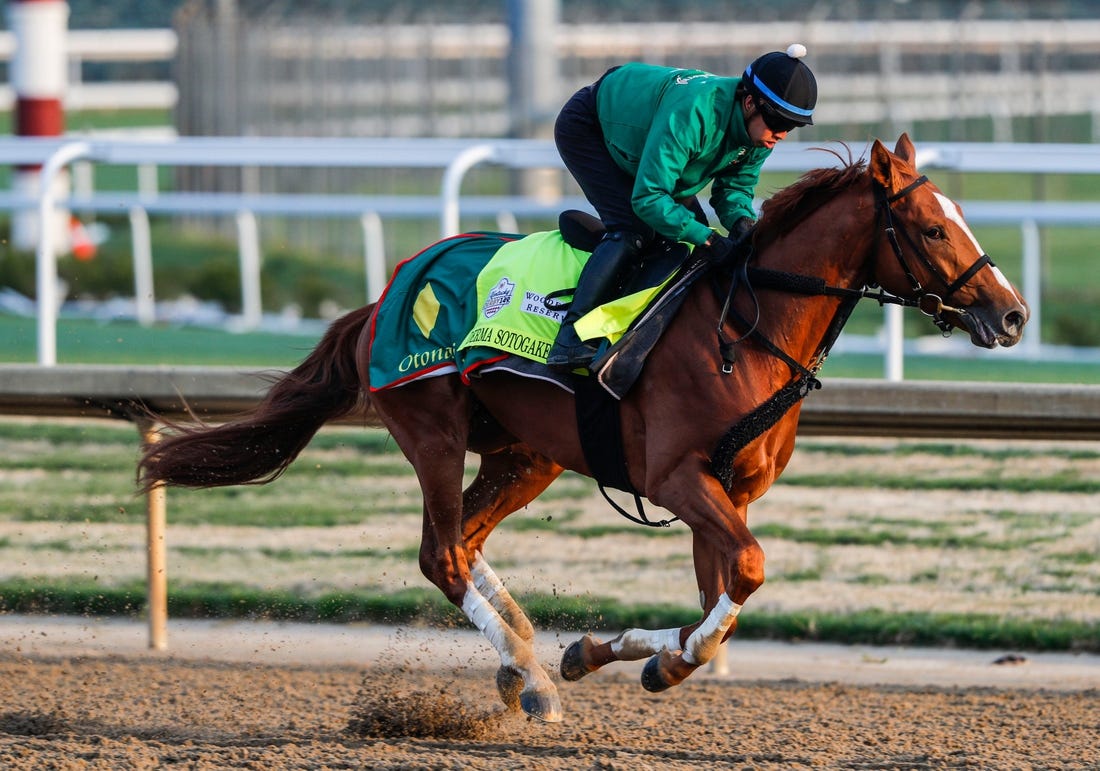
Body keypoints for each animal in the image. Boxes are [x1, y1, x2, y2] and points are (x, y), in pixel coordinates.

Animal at [139, 136, 1029, 721]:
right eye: (933, 227)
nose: (1012, 314)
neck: (745, 326)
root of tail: (388, 290)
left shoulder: (729, 490)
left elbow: (720, 598)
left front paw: (614, 652)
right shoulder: (677, 476)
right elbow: (746, 570)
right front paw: (648, 662)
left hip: (525, 453)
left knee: (466, 540)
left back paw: (525, 651)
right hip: (432, 428)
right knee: (441, 553)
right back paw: (526, 676)